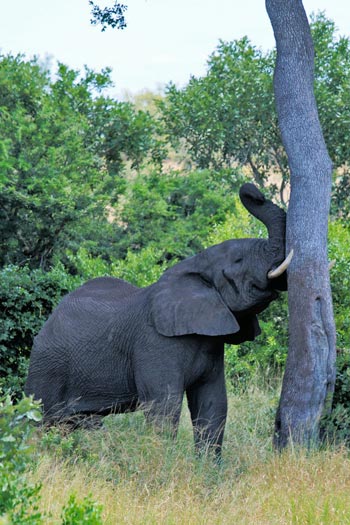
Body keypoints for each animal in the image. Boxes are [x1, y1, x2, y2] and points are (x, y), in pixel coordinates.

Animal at [25, 182, 292, 456]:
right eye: (239, 260)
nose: (253, 191)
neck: (193, 266)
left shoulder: (211, 343)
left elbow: (213, 403)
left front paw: (207, 466)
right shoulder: (154, 343)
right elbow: (163, 406)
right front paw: (165, 461)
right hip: (46, 366)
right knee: (42, 419)